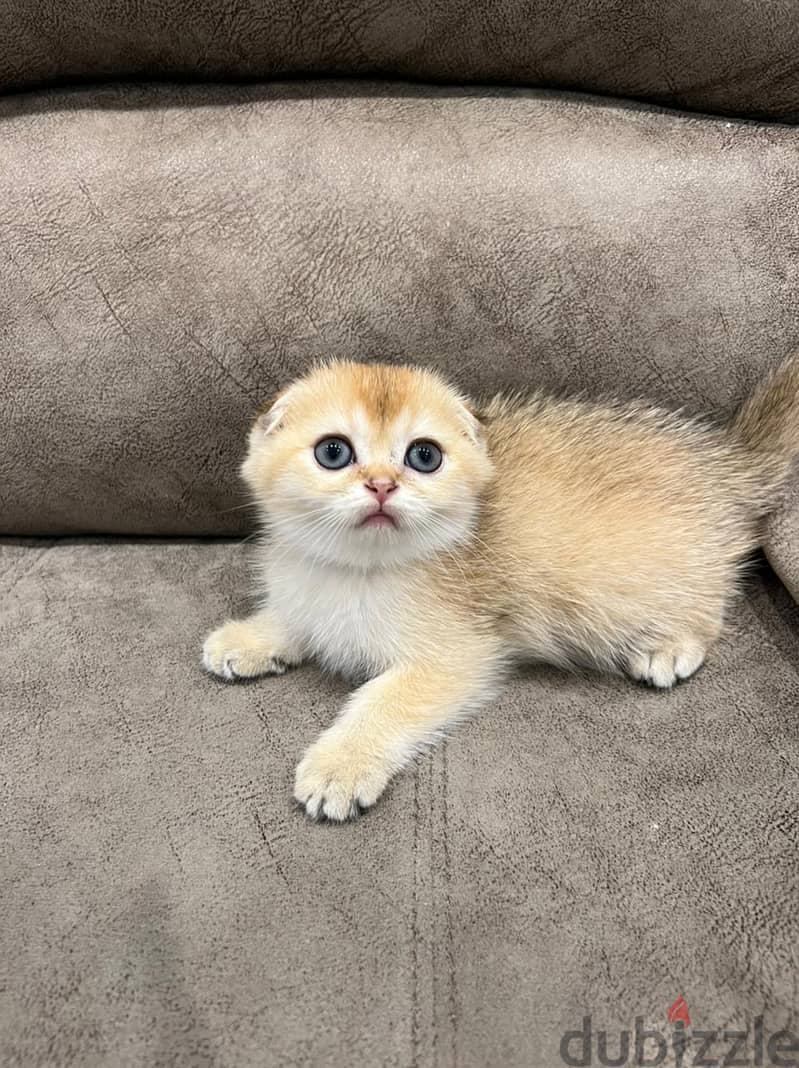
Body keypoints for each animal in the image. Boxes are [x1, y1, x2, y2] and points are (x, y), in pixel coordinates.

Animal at [200, 356, 799, 815]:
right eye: (333, 452)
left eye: (423, 455)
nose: (382, 486)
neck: (358, 570)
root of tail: (728, 467)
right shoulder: (311, 596)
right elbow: (295, 619)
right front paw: (248, 639)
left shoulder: (456, 658)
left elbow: (383, 705)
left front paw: (340, 765)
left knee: (712, 602)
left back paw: (670, 646)